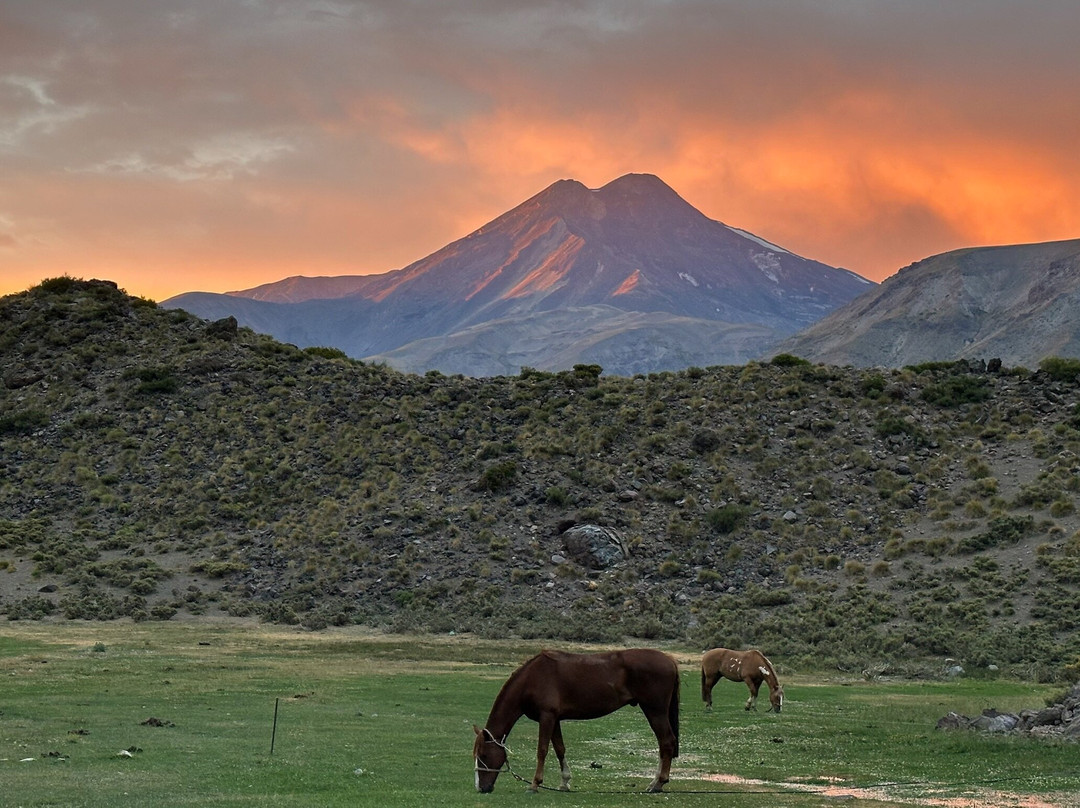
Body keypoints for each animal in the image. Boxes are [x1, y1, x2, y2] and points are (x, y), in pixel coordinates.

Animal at [472, 648, 680, 793]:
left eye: (484, 755)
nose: (481, 788)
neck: (532, 678)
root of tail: (669, 660)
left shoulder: (546, 717)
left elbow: (542, 750)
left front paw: (534, 784)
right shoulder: (554, 719)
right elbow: (559, 749)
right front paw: (564, 782)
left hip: (655, 711)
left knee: (666, 742)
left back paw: (658, 783)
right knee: (663, 745)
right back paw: (655, 782)